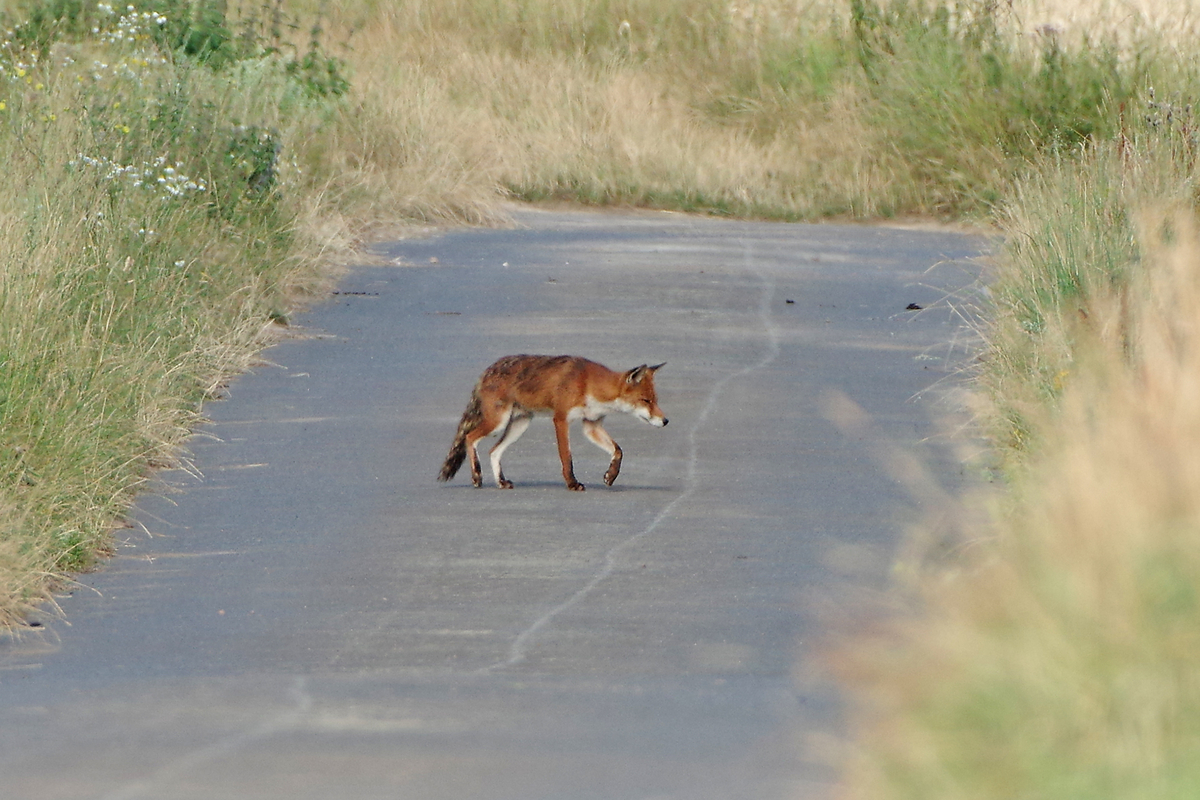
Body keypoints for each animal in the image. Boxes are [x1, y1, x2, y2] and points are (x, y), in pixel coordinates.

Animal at [439, 355, 667, 491]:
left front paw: (610, 475)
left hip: (519, 425)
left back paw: (501, 482)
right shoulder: (561, 419)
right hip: (498, 422)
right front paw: (572, 483)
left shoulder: (591, 425)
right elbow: (567, 457)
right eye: (646, 401)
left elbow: (618, 450)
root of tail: (486, 371)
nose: (665, 421)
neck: (588, 384)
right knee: (470, 438)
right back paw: (477, 477)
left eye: (655, 400)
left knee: (493, 451)